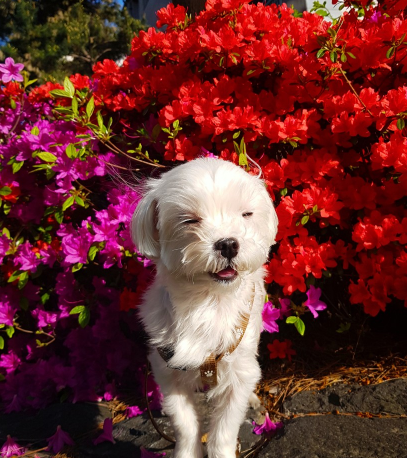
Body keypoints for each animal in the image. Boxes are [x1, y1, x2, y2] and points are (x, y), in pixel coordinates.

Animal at [132, 158, 278, 458]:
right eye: (189, 220)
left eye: (246, 214)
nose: (228, 243)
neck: (209, 301)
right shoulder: (168, 372)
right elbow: (185, 427)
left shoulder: (237, 374)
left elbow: (224, 431)